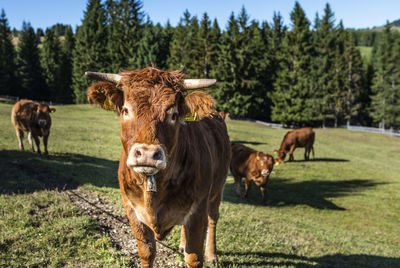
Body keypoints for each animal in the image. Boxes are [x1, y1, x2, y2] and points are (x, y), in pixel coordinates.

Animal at [86, 67, 231, 268]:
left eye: (174, 115)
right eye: (125, 110)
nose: (147, 154)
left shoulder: (198, 210)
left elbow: (194, 257)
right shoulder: (131, 208)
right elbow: (147, 252)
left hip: (218, 189)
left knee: (213, 219)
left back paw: (212, 254)